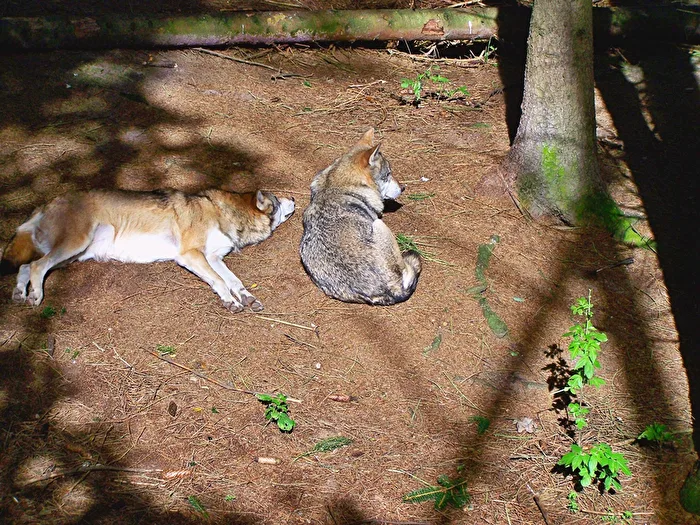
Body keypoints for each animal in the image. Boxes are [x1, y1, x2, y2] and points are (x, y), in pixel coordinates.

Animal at [0, 188, 295, 312]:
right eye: (278, 200)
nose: (293, 197)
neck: (222, 211)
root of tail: (49, 201)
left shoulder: (213, 258)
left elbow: (234, 280)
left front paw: (246, 297)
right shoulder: (191, 255)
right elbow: (221, 282)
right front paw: (231, 301)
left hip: (72, 255)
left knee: (26, 266)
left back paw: (19, 294)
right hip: (74, 245)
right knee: (36, 266)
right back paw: (34, 296)